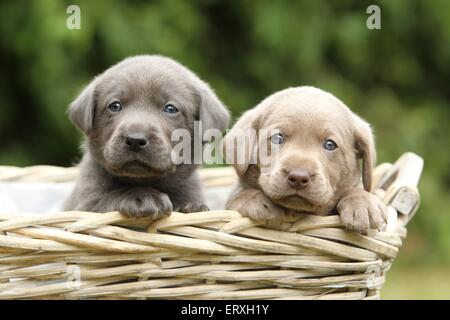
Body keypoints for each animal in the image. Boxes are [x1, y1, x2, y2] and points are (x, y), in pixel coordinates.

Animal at [63, 55, 230, 220]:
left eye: (171, 108)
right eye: (114, 106)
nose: (135, 140)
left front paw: (193, 209)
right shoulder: (84, 204)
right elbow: (106, 200)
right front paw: (143, 198)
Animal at [223, 86, 388, 234]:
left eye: (330, 144)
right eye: (277, 138)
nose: (298, 177)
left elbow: (355, 188)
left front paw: (362, 203)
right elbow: (239, 195)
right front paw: (254, 199)